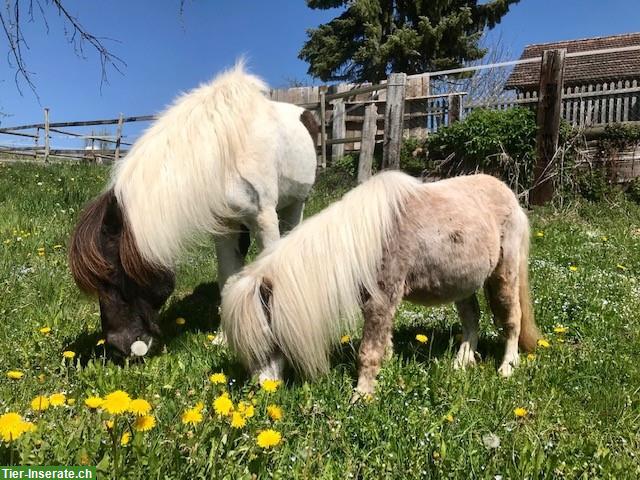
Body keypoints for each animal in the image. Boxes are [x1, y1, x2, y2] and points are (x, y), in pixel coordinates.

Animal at [68, 62, 318, 358]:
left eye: (114, 276)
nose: (120, 348)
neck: (226, 153)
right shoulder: (225, 227)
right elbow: (227, 277)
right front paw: (224, 339)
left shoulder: (264, 218)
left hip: (295, 204)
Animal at [220, 171, 540, 396]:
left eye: (267, 336)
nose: (263, 389)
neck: (364, 239)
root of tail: (509, 195)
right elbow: (383, 341)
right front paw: (386, 367)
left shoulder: (382, 298)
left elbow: (368, 351)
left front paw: (362, 395)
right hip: (461, 282)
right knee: (471, 318)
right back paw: (462, 362)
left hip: (505, 274)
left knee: (513, 319)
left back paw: (507, 367)